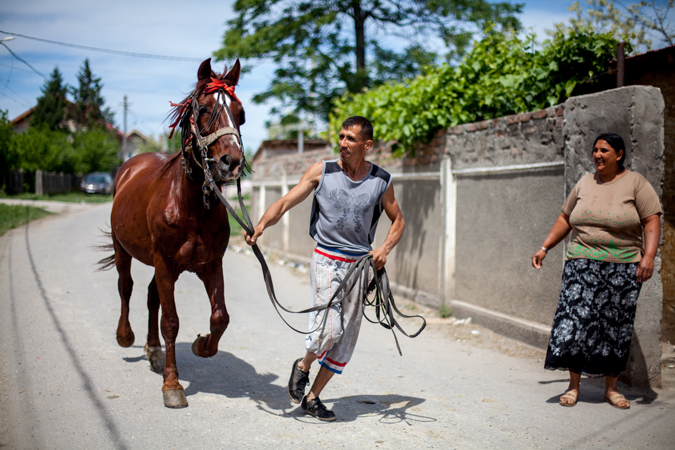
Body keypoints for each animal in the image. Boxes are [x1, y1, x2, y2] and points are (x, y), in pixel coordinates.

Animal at [99, 58, 246, 408]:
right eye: (204, 109)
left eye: (241, 113)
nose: (232, 162)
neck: (190, 205)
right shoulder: (165, 263)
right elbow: (171, 321)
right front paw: (172, 384)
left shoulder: (210, 265)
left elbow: (220, 317)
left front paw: (202, 345)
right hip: (125, 250)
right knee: (126, 287)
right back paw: (126, 336)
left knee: (151, 296)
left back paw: (152, 349)